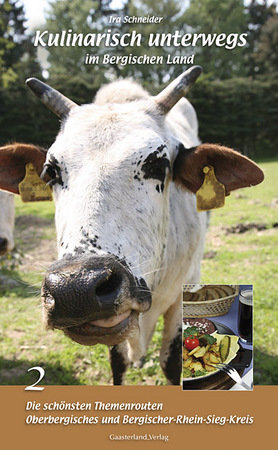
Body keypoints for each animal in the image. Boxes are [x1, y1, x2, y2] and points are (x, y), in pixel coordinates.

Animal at [0, 66, 264, 384]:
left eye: (158, 165)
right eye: (51, 171)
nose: (75, 290)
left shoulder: (180, 297)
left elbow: (172, 362)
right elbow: (118, 362)